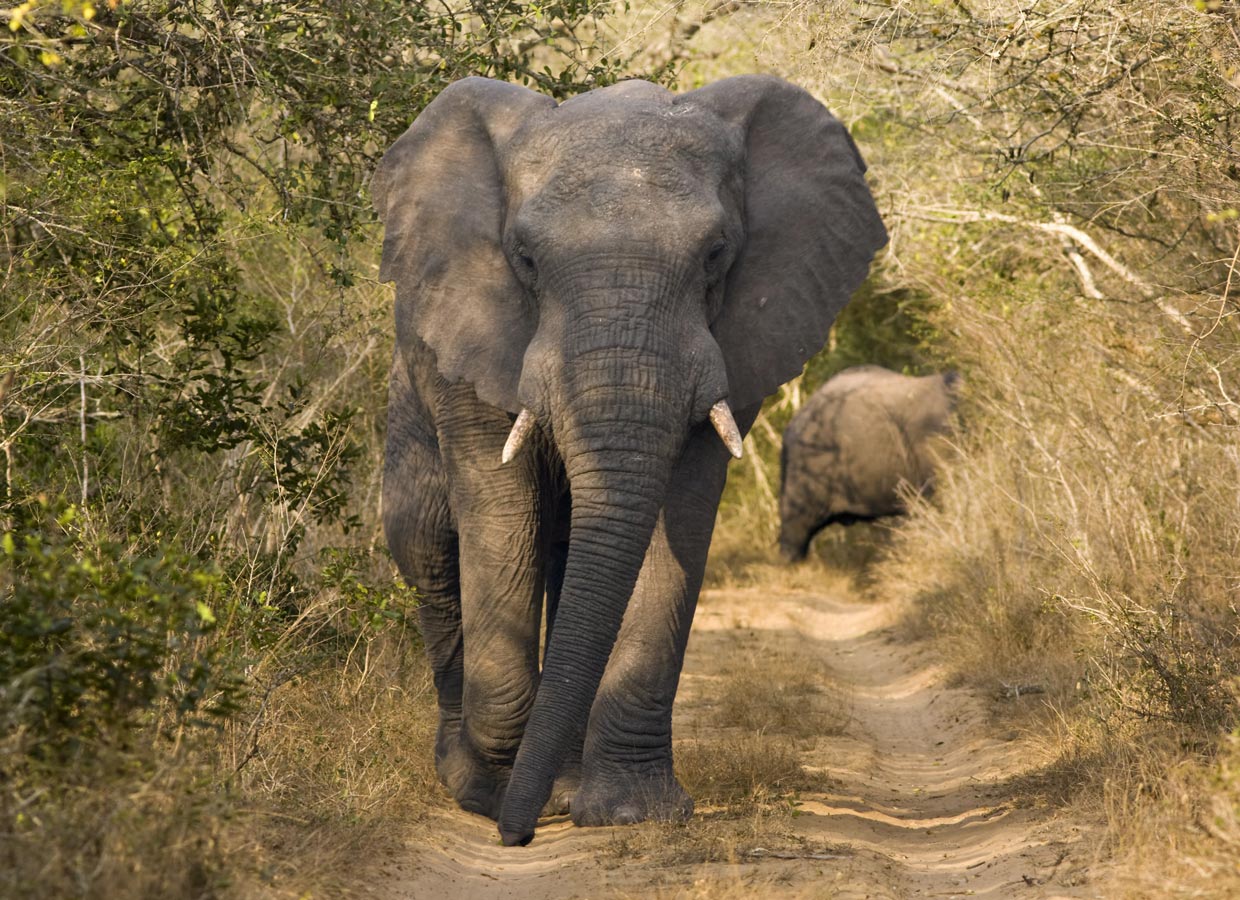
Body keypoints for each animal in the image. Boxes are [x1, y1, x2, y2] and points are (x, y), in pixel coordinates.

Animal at [373, 74, 886, 846]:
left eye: (716, 252)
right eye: (524, 257)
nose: (516, 836)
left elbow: (682, 515)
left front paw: (630, 814)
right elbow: (500, 511)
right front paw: (492, 795)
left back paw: (555, 786)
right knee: (429, 545)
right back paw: (473, 777)